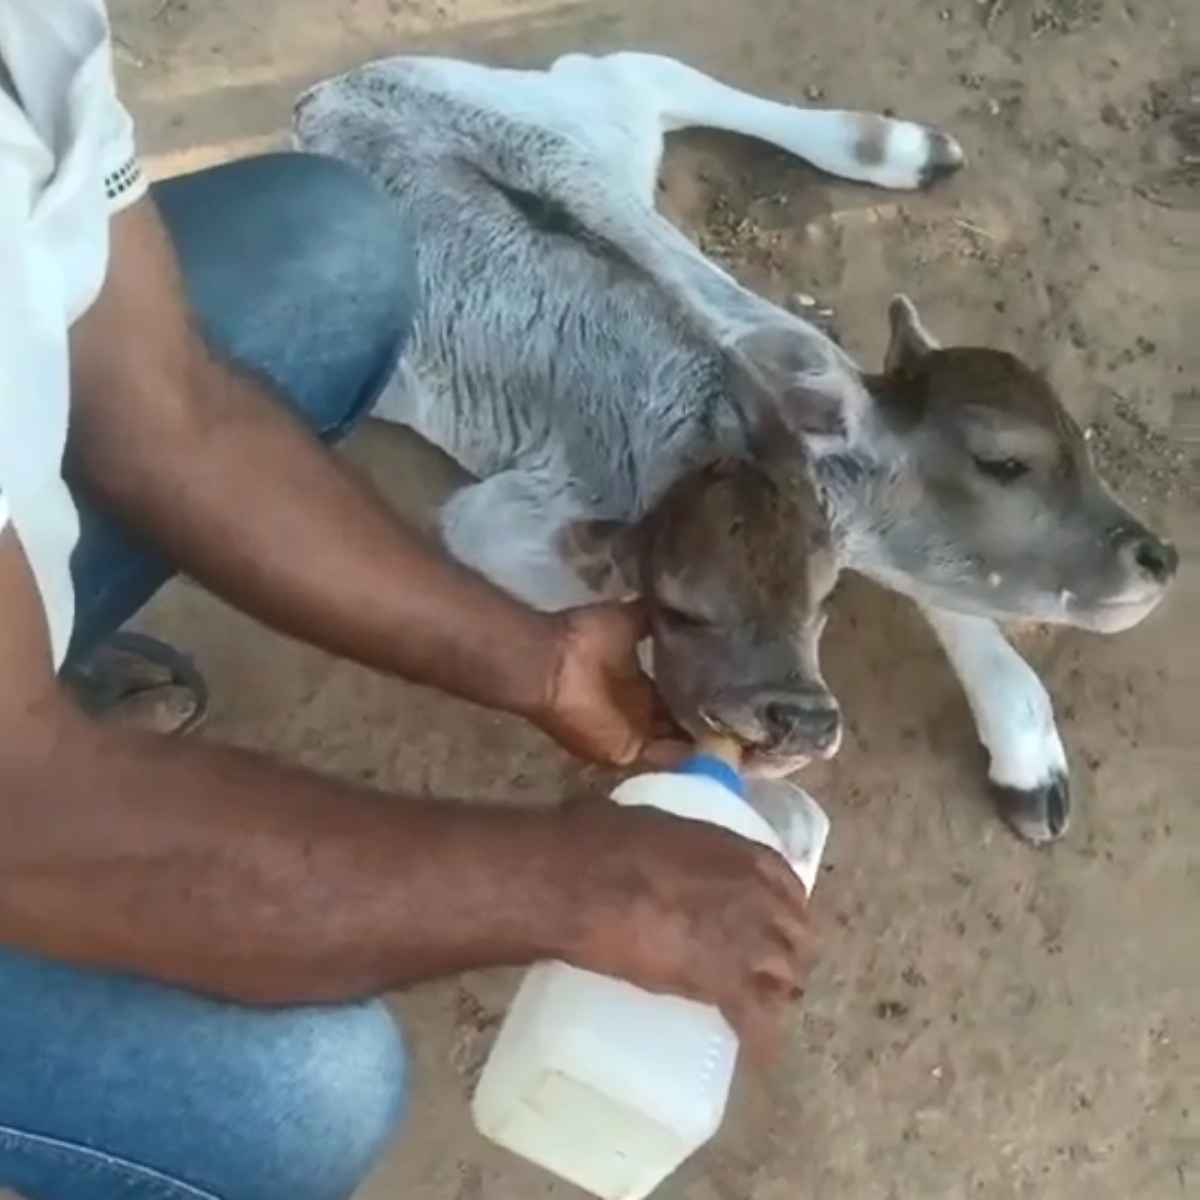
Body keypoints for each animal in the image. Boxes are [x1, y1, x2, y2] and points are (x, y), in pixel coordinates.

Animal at [295, 51, 1176, 840]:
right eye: (1002, 462)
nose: (1158, 558)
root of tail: (327, 94)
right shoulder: (501, 517)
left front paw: (1029, 761)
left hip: (574, 117)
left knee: (630, 67)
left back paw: (907, 150)